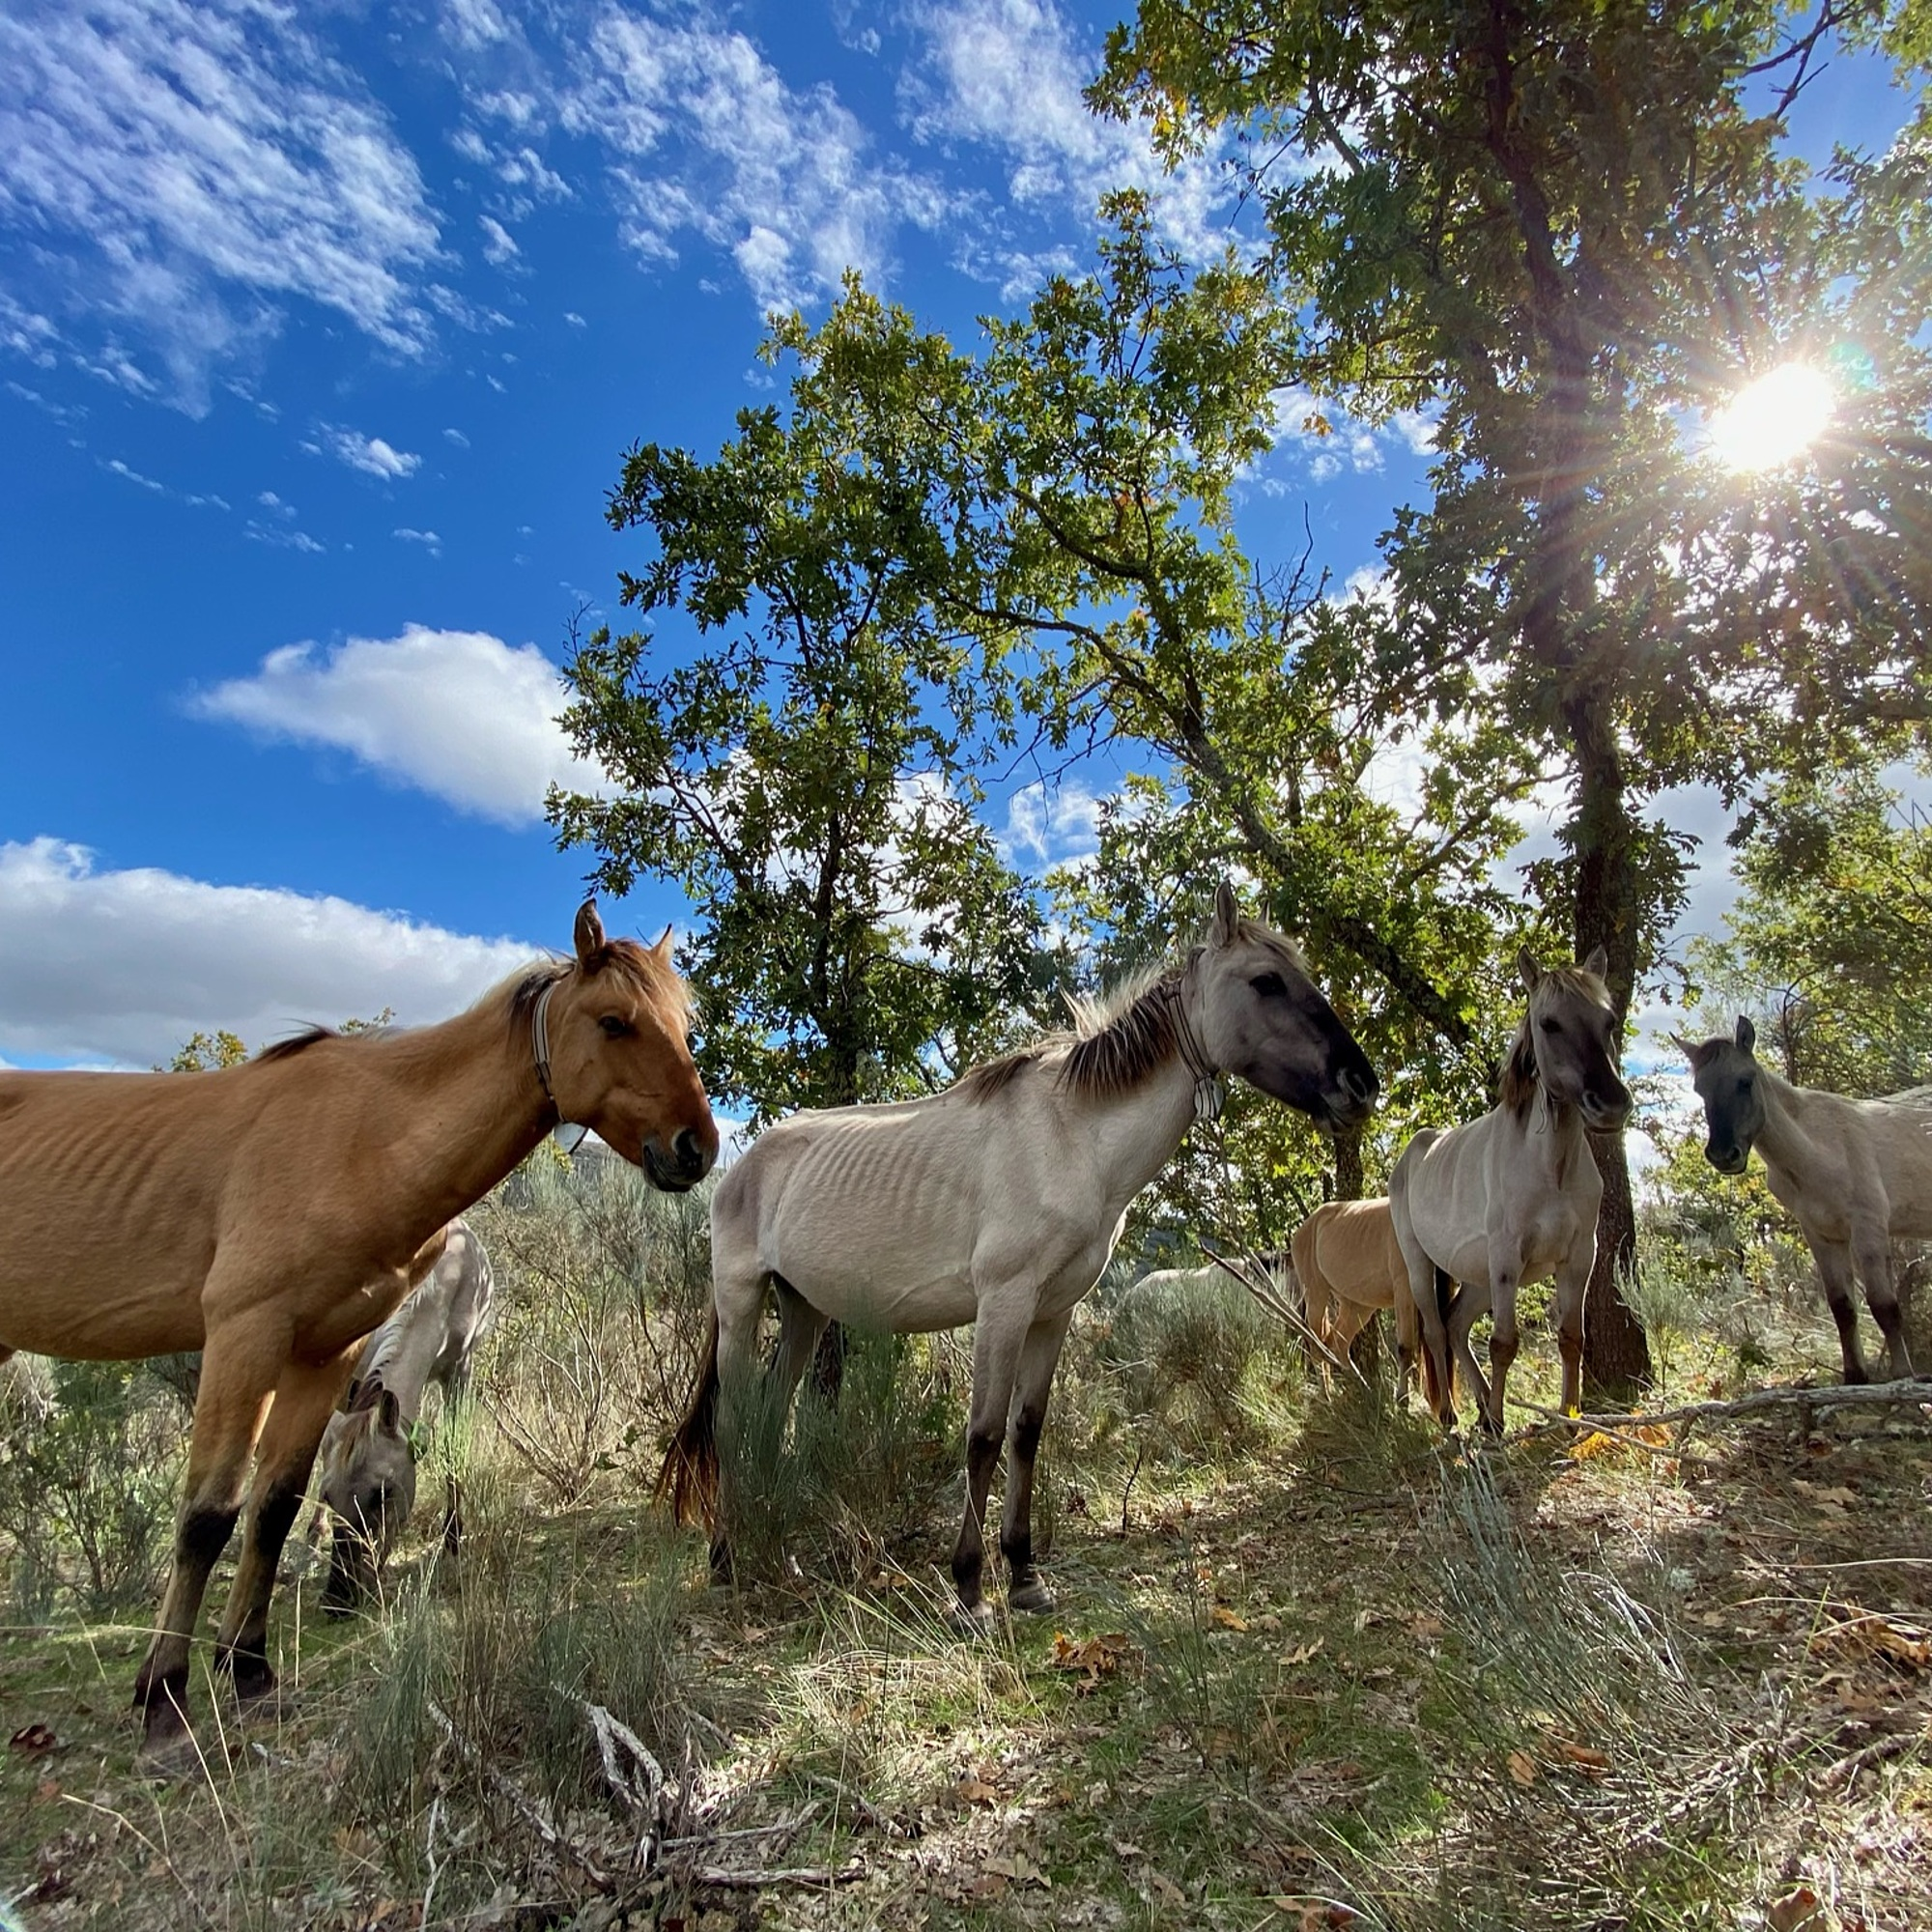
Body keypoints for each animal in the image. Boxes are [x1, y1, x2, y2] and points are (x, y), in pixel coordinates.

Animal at [0, 896, 719, 1762]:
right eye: (615, 1022)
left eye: (685, 1026)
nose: (697, 1147)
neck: (361, 1141)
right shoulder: (245, 1335)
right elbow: (209, 1516)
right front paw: (165, 1696)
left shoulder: (325, 1350)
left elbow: (272, 1505)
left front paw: (248, 1670)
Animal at [657, 885, 1383, 1623]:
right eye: (1266, 981)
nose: (1360, 1083)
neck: (1070, 1136)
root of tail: (742, 1168)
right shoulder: (1003, 1304)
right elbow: (982, 1434)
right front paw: (970, 1588)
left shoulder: (1052, 1312)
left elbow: (1026, 1432)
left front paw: (1026, 1574)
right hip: (743, 1303)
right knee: (732, 1422)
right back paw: (725, 1562)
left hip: (803, 1309)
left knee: (770, 1416)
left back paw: (784, 1559)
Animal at [1391, 951, 1631, 1437]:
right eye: (1549, 1023)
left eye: (1609, 1020)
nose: (1611, 1106)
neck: (1551, 1167)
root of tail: (1412, 1153)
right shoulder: (1507, 1257)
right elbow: (1503, 1342)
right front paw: (1499, 1425)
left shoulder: (1579, 1256)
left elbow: (1571, 1338)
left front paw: (1569, 1417)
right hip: (1422, 1267)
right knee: (1436, 1332)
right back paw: (1451, 1416)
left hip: (1478, 1278)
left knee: (1456, 1325)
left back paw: (1482, 1407)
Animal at [1677, 1020, 1932, 1383]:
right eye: (1700, 1090)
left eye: (1745, 1081)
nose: (1724, 1155)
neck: (1818, 1149)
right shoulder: (1821, 1235)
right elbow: (1843, 1308)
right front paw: (1854, 1376)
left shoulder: (1868, 1229)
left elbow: (1884, 1305)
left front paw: (1901, 1375)